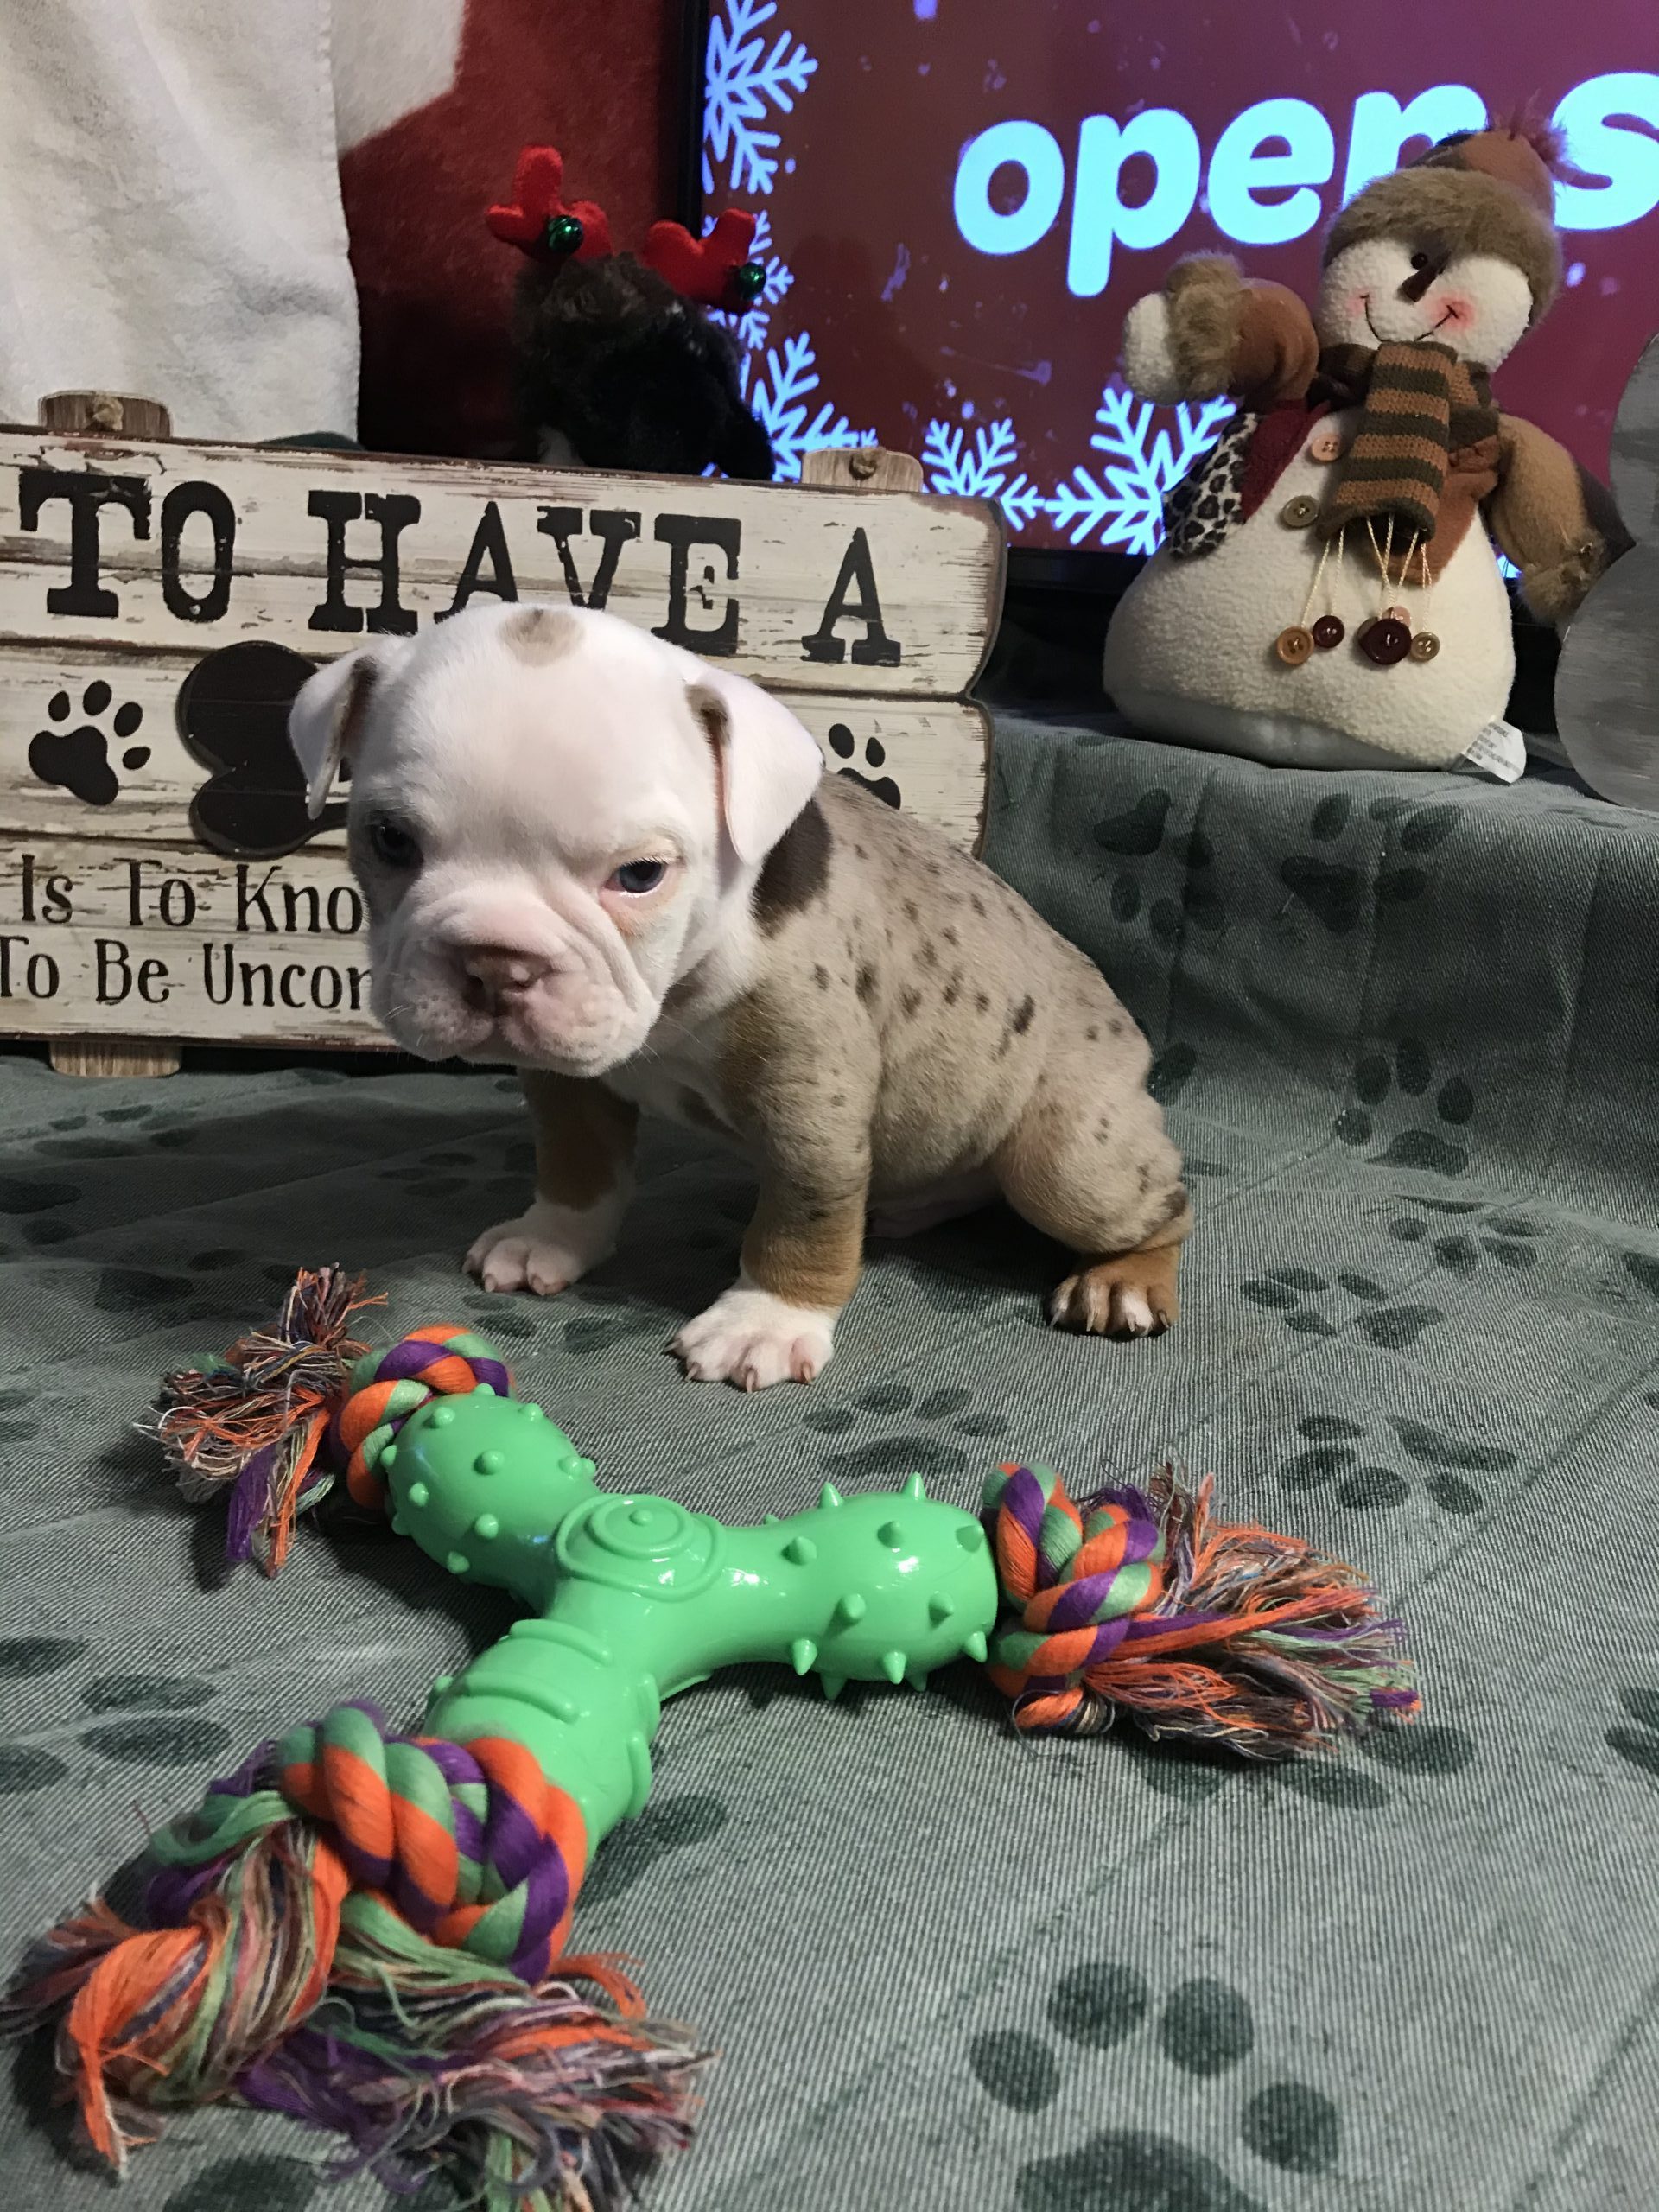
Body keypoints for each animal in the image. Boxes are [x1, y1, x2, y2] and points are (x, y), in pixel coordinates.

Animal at [287, 603, 1192, 1388]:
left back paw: (1122, 1278)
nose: (495, 962)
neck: (675, 991)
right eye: (390, 841)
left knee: (1159, 1203)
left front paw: (767, 1319)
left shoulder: (809, 1102)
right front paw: (552, 1237)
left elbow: (802, 1216)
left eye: (640, 874)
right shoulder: (568, 1078)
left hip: (1067, 1158)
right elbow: (577, 1162)